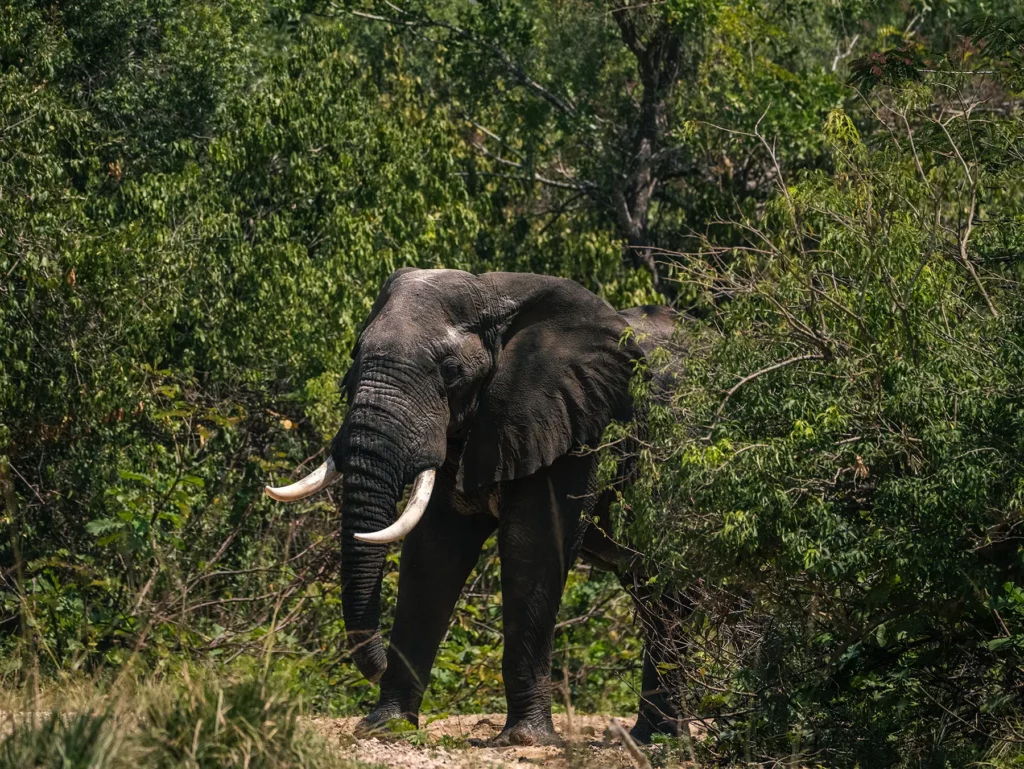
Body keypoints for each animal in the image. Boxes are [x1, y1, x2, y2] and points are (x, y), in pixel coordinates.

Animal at [266, 268, 682, 746]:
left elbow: (533, 547)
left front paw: (524, 740)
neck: (496, 292)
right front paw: (383, 727)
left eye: (450, 372)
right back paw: (654, 737)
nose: (377, 664)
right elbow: (433, 553)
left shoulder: (579, 424)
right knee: (657, 596)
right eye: (355, 358)